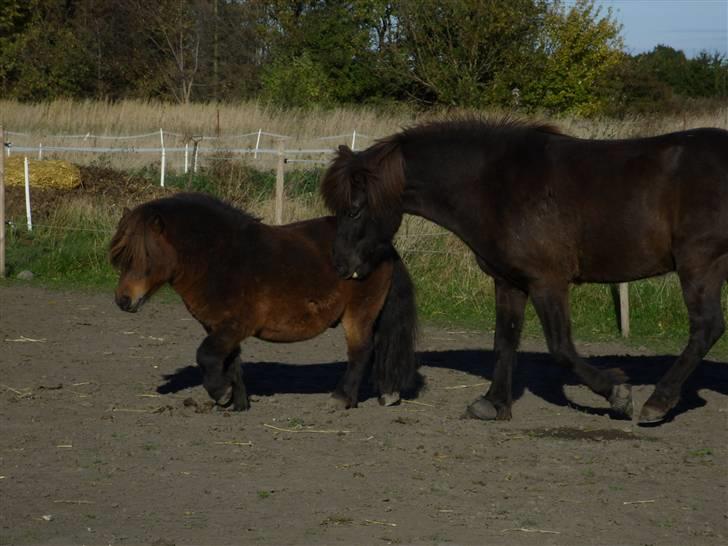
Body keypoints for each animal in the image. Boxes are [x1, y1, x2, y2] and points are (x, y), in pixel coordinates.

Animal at [107, 191, 416, 408]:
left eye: (145, 256)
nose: (123, 300)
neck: (220, 258)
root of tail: (383, 246)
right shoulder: (220, 328)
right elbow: (229, 362)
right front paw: (237, 401)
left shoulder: (236, 325)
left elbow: (206, 355)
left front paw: (221, 394)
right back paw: (387, 393)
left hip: (358, 313)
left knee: (361, 352)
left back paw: (342, 398)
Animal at [324, 118, 728, 424]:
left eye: (355, 209)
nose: (342, 266)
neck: (494, 183)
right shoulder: (509, 282)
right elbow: (504, 340)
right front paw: (493, 403)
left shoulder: (547, 281)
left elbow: (561, 348)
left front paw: (617, 392)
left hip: (699, 264)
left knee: (706, 328)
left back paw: (657, 402)